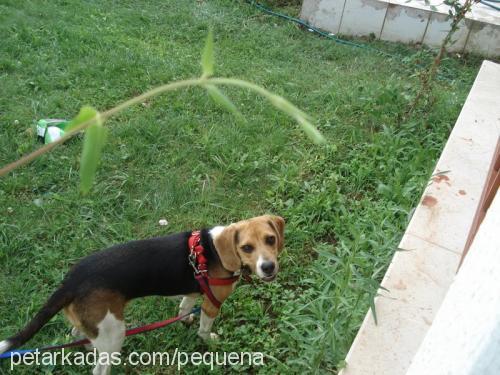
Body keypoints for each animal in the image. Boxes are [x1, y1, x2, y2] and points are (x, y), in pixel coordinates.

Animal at [0, 216, 286, 374]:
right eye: (246, 247)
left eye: (271, 239)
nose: (268, 267)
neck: (215, 250)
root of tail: (71, 280)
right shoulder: (212, 303)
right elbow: (205, 328)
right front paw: (209, 340)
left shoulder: (194, 291)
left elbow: (184, 306)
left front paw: (185, 319)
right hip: (115, 333)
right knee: (99, 368)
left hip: (96, 325)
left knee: (78, 334)